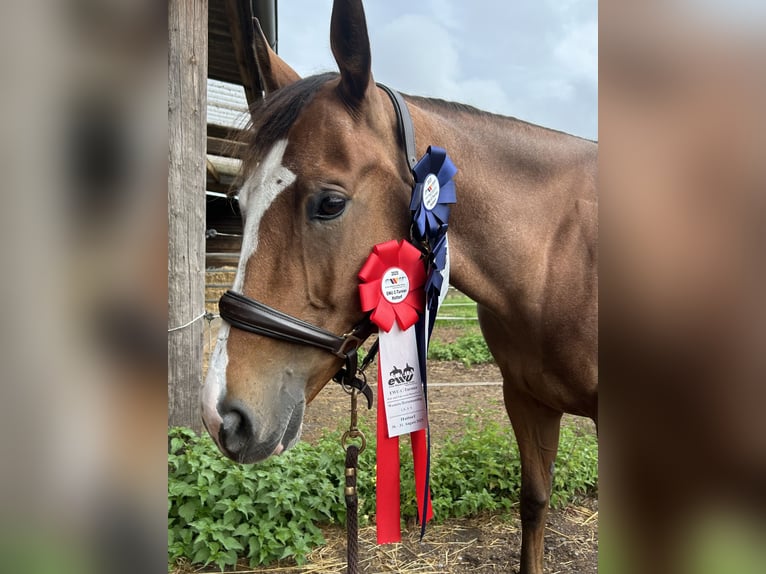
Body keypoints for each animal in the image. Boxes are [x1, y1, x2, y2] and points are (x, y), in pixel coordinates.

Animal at [201, 1, 597, 573]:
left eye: (330, 203)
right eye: (238, 203)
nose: (222, 417)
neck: (557, 255)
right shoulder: (526, 399)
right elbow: (534, 502)